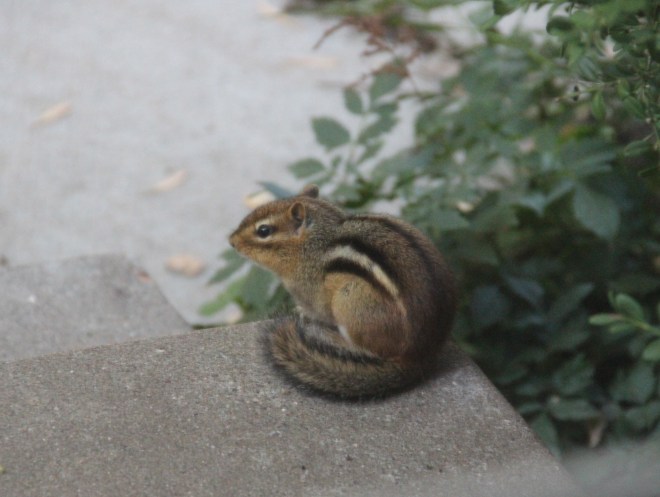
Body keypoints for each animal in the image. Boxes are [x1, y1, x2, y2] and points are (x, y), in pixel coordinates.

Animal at [229, 185, 457, 398]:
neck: (313, 244)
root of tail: (420, 357)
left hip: (350, 303)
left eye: (263, 231)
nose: (231, 241)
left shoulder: (310, 291)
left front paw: (302, 312)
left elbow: (316, 311)